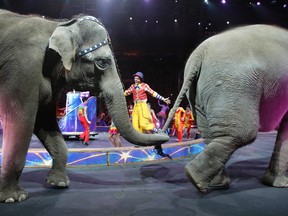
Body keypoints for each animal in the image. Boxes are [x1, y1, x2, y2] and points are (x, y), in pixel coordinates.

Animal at [0, 9, 169, 202]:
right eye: (102, 62)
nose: (162, 138)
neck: (60, 25)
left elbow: (44, 120)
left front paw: (59, 183)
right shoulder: (22, 70)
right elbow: (20, 121)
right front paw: (13, 197)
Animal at [163, 24, 288, 192]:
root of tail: (200, 53)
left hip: (201, 92)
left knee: (210, 134)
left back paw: (212, 182)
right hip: (234, 85)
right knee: (242, 132)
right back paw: (195, 178)